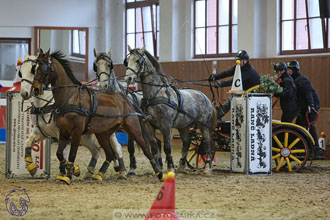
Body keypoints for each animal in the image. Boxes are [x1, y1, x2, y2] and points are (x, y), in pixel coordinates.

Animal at [30, 49, 164, 184]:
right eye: (34, 68)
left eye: (45, 68)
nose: (35, 89)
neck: (71, 98)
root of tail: (126, 98)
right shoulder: (63, 132)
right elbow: (59, 154)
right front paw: (72, 171)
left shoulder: (76, 132)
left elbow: (72, 154)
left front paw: (69, 176)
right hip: (103, 134)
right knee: (109, 153)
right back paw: (99, 175)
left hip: (134, 129)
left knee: (146, 149)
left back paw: (160, 174)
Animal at [125, 46, 218, 174]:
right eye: (127, 61)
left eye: (138, 60)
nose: (128, 78)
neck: (156, 95)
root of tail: (205, 96)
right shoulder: (149, 125)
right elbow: (154, 146)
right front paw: (159, 169)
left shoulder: (166, 125)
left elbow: (167, 147)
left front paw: (170, 168)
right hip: (184, 126)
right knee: (186, 142)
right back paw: (181, 167)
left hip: (203, 125)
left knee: (207, 142)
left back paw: (207, 168)